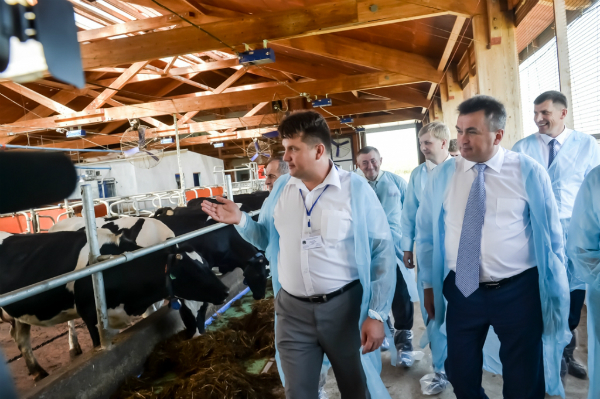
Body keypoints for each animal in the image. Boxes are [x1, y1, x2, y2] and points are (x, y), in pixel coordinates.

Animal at [0, 220, 230, 382]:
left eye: (204, 309)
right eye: (193, 272)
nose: (225, 290)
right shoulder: (91, 317)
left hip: (18, 316)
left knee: (21, 338)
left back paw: (38, 372)